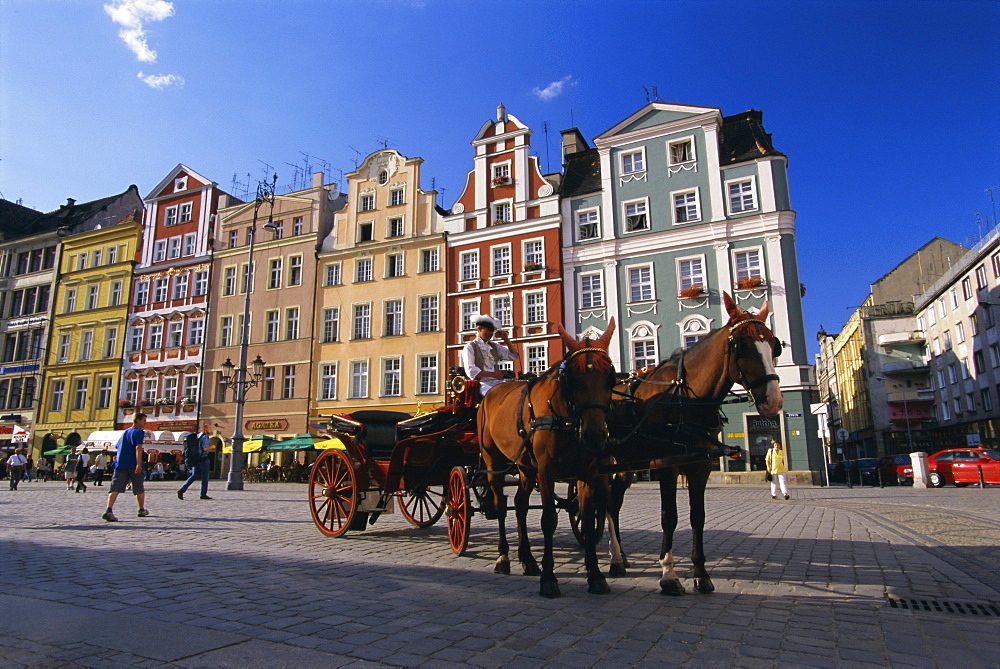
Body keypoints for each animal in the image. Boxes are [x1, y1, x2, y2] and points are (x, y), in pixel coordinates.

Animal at [478, 318, 616, 596]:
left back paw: (528, 560)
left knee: (520, 505)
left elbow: (587, 519)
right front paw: (549, 578)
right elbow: (548, 519)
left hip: (525, 467)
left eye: (610, 377)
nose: (595, 435)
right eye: (573, 378)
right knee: (501, 506)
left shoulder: (587, 471)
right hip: (492, 461)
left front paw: (595, 575)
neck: (567, 417)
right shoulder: (546, 470)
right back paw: (503, 558)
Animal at [604, 294, 784, 592]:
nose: (773, 400)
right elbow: (669, 516)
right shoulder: (667, 466)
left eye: (774, 345)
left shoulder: (701, 466)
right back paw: (614, 558)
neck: (683, 399)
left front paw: (701, 573)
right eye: (741, 346)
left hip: (626, 464)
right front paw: (669, 574)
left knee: (613, 503)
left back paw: (619, 558)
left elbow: (697, 516)